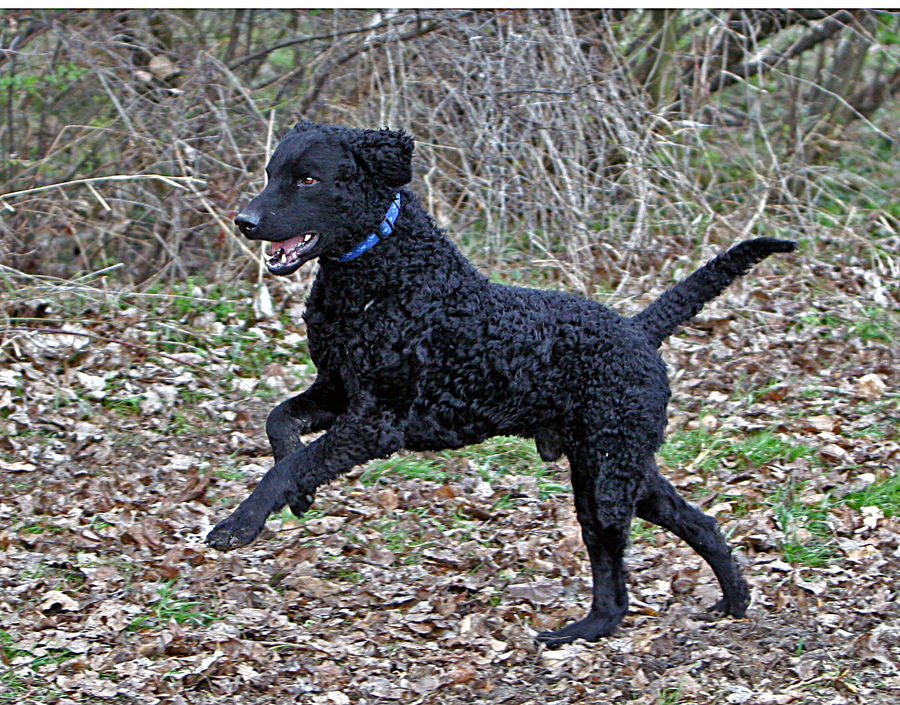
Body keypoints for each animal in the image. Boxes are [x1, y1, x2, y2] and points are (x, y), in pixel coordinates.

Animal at [206, 119, 796, 644]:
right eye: (270, 173)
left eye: (308, 179)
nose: (244, 220)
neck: (379, 274)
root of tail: (637, 329)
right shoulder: (336, 390)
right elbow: (280, 426)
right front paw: (299, 496)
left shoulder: (377, 421)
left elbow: (290, 466)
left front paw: (241, 523)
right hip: (618, 466)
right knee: (698, 524)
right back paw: (731, 601)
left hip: (607, 477)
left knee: (617, 582)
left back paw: (584, 632)